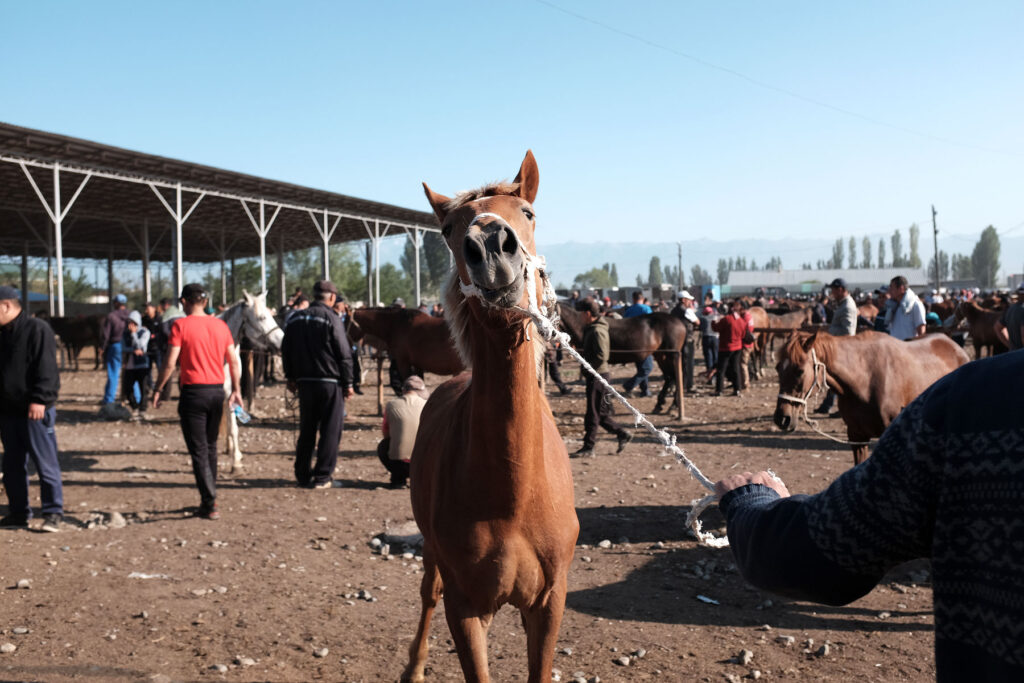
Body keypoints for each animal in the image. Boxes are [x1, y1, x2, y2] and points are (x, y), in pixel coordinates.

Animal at [217, 291, 283, 472]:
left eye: (272, 315)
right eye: (261, 317)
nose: (282, 342)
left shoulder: (230, 392)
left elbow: (233, 427)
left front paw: (236, 462)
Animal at [402, 151, 578, 683]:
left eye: (528, 212)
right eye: (447, 230)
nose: (489, 244)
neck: (513, 494)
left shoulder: (548, 604)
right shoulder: (466, 609)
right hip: (432, 556)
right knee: (427, 595)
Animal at [556, 302, 686, 413]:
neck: (584, 327)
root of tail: (679, 322)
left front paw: (608, 408)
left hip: (671, 355)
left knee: (675, 376)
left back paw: (673, 405)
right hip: (660, 355)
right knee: (670, 377)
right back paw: (660, 405)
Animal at [774, 330, 969, 465]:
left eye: (800, 370)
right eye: (777, 368)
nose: (782, 418)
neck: (866, 379)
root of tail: (956, 348)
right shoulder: (857, 436)